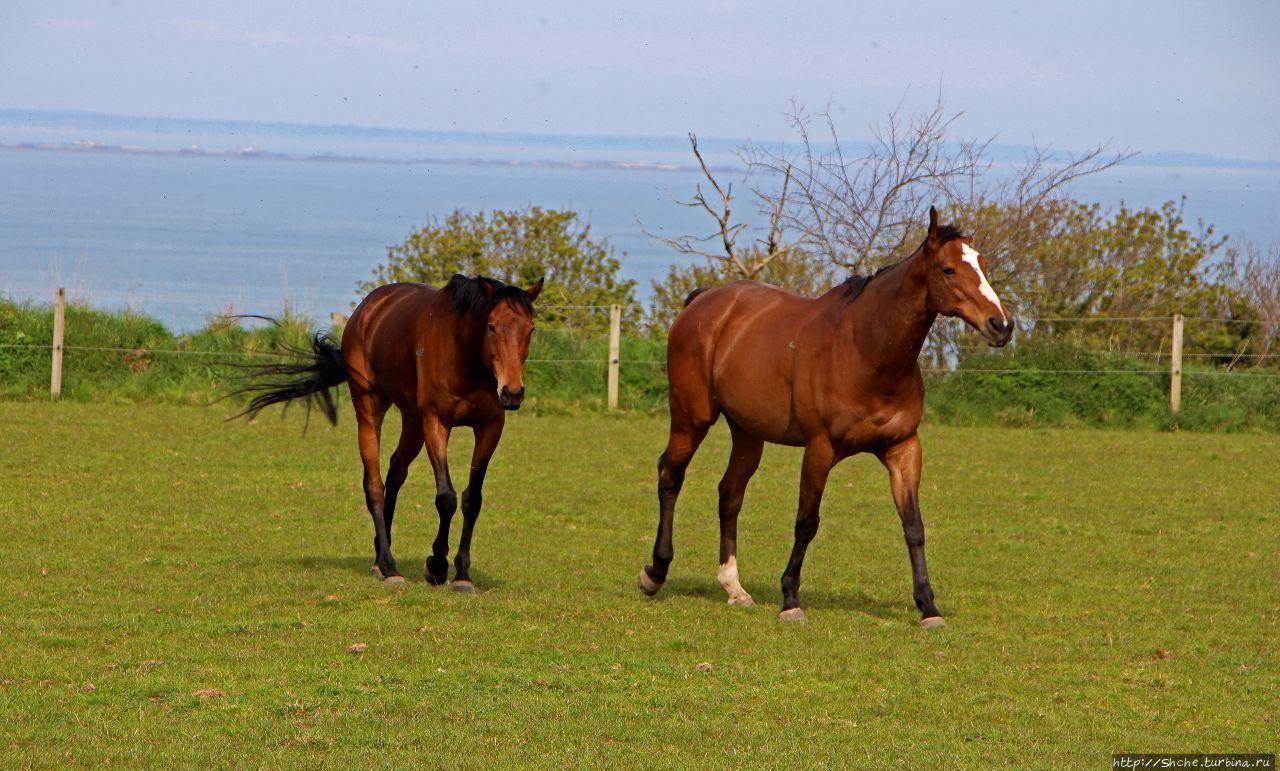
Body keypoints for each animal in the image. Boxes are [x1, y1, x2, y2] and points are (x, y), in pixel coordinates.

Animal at [235, 274, 540, 589]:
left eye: (530, 328)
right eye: (492, 326)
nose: (513, 392)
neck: (465, 356)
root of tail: (367, 308)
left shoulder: (490, 427)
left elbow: (472, 499)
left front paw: (462, 573)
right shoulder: (436, 423)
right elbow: (446, 498)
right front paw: (437, 565)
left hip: (413, 420)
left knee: (395, 473)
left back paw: (381, 556)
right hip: (370, 411)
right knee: (374, 486)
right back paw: (388, 565)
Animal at [637, 208, 1008, 624]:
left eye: (982, 265)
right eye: (948, 269)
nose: (1001, 324)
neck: (863, 349)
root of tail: (702, 302)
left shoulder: (903, 448)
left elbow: (913, 525)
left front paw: (928, 606)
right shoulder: (819, 449)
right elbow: (806, 523)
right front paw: (790, 600)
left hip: (748, 433)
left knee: (730, 493)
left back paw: (735, 588)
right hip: (692, 418)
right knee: (670, 475)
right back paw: (654, 573)